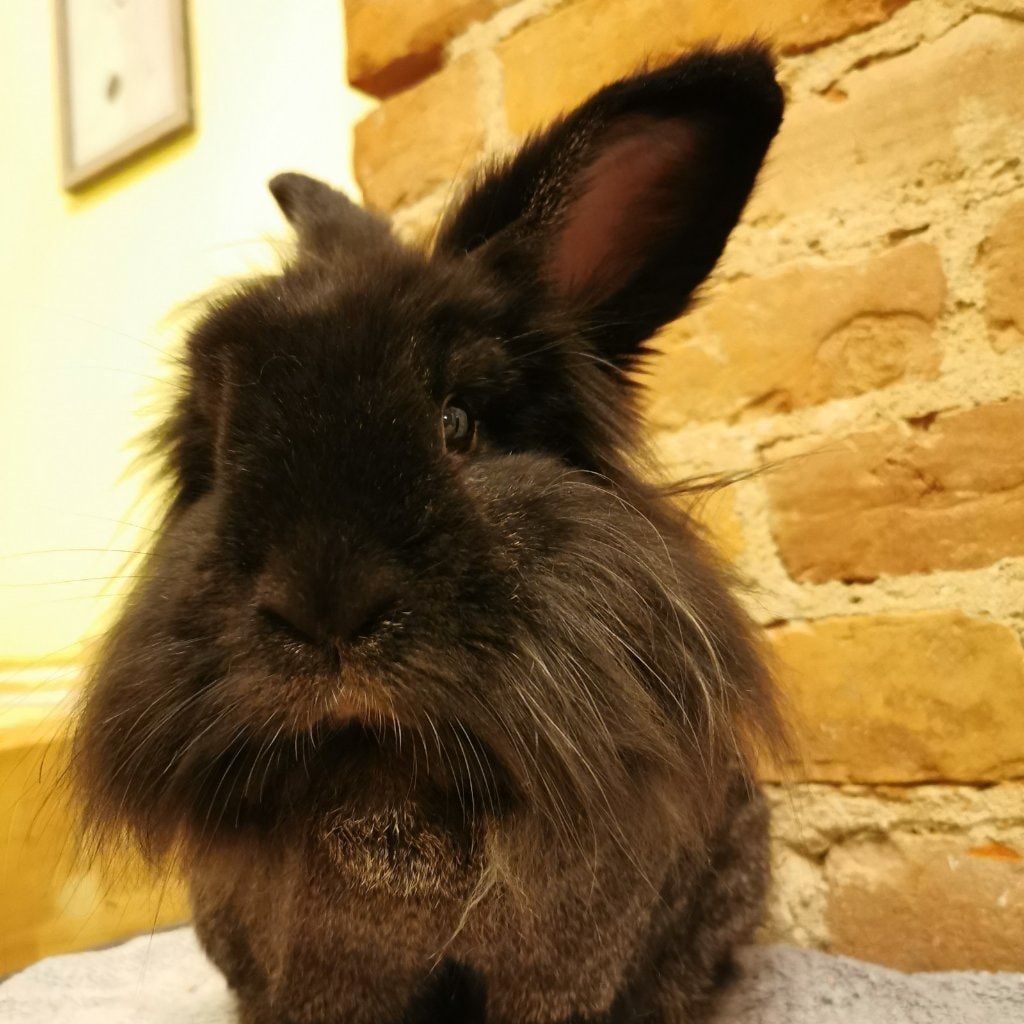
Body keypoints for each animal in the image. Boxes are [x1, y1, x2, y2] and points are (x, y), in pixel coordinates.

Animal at [73, 44, 786, 1024]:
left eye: (459, 425)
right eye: (219, 450)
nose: (325, 613)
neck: (385, 773)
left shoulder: (563, 964)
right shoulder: (323, 970)